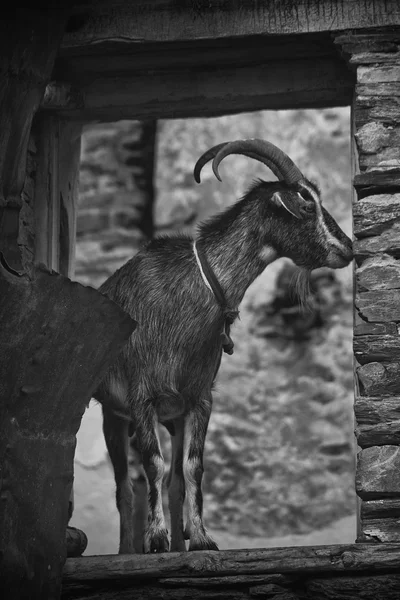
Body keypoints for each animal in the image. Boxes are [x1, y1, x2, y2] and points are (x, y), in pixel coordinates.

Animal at [94, 138, 354, 556]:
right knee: (125, 487)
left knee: (173, 485)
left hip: (174, 417)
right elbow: (153, 465)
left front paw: (201, 539)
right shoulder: (141, 396)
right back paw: (127, 551)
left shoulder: (199, 398)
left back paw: (178, 543)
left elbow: (191, 469)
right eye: (306, 204)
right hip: (112, 415)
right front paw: (155, 539)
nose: (346, 248)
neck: (199, 285)